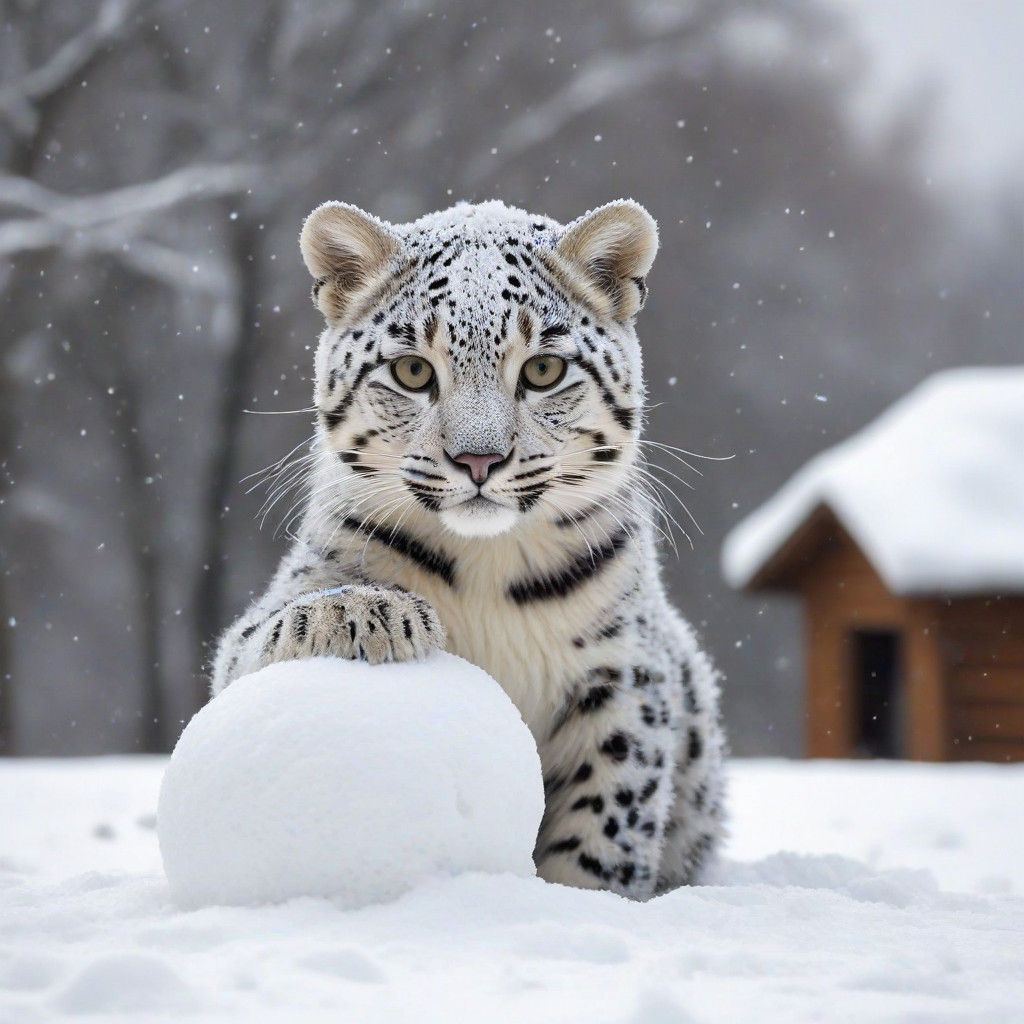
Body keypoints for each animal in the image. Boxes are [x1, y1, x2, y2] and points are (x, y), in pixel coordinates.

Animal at [210, 197, 726, 899]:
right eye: (411, 369)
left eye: (543, 368)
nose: (477, 459)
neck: (490, 571)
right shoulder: (280, 602)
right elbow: (261, 631)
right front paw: (363, 612)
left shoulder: (622, 677)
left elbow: (602, 822)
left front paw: (581, 898)